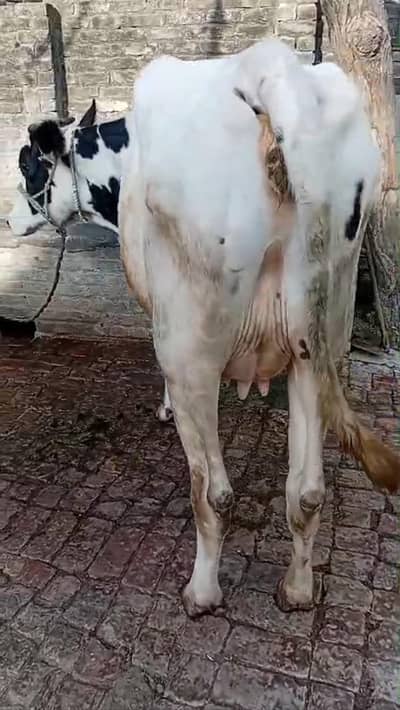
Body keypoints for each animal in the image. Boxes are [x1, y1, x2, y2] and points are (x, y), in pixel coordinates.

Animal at [119, 38, 400, 618]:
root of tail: (272, 71)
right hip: (320, 335)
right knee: (307, 491)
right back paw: (296, 590)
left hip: (190, 348)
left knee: (213, 491)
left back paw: (201, 594)